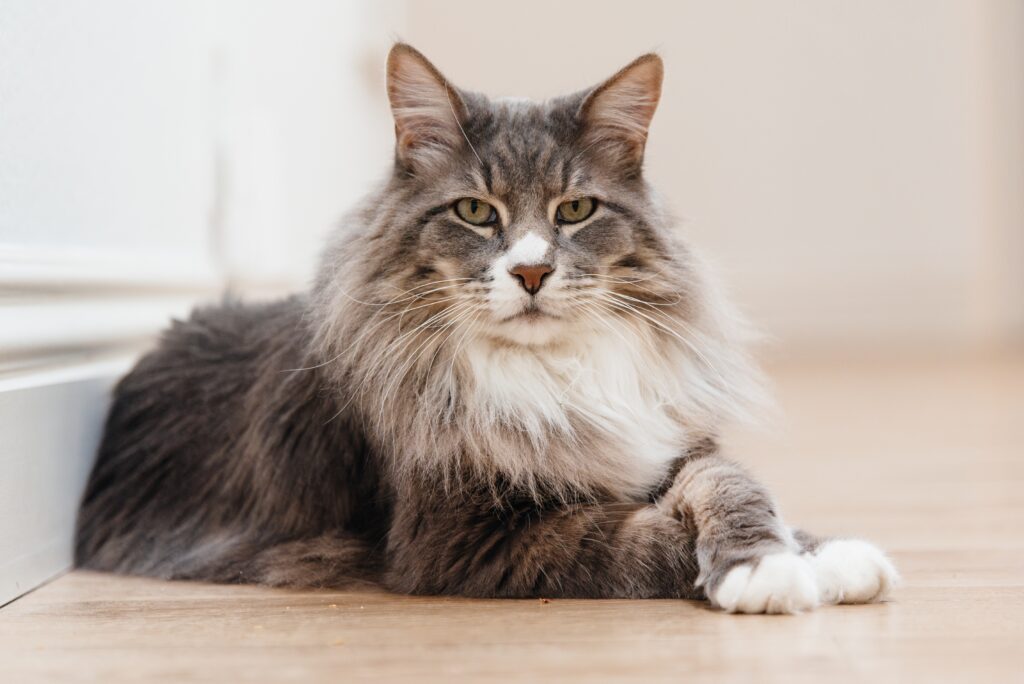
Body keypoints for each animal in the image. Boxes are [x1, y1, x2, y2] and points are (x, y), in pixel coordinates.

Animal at [75, 44, 897, 614]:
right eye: (475, 212)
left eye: (575, 211)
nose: (530, 272)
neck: (551, 376)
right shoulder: (462, 538)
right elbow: (635, 532)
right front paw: (771, 575)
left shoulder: (669, 444)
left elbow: (730, 482)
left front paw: (820, 554)